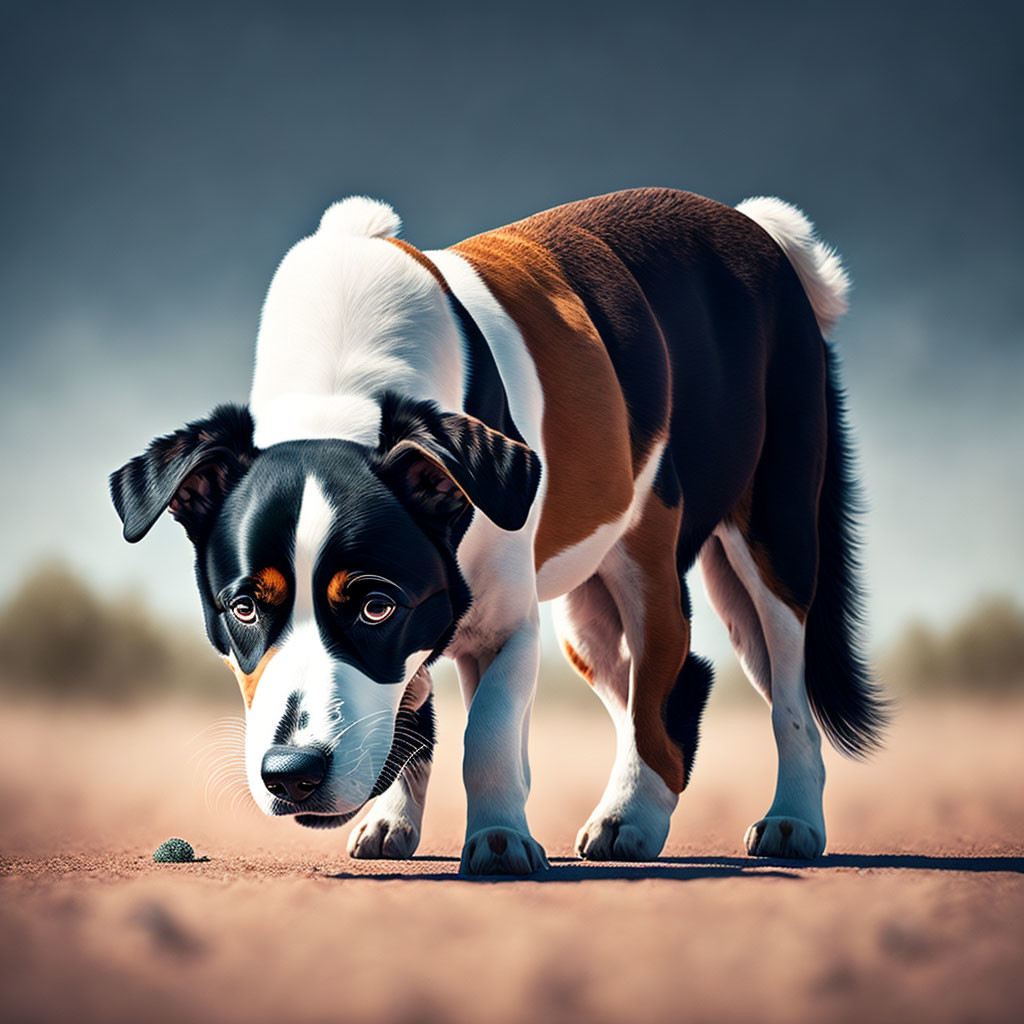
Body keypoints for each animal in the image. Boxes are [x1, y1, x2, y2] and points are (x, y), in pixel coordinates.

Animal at [108, 190, 884, 872]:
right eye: (243, 608)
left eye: (374, 604)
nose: (292, 772)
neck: (340, 392)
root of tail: (760, 231)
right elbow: (417, 717)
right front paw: (395, 819)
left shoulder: (503, 623)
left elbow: (486, 731)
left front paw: (503, 840)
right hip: (588, 614)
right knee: (658, 682)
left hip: (748, 544)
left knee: (756, 685)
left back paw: (724, 818)